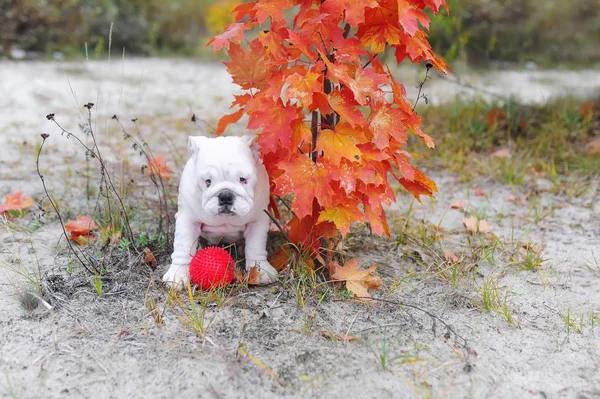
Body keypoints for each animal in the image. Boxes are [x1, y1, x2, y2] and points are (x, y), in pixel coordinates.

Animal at [163, 136, 278, 290]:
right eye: (208, 181)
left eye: (243, 179)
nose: (225, 195)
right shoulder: (188, 220)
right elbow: (183, 247)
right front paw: (177, 274)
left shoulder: (258, 221)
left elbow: (256, 246)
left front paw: (260, 271)